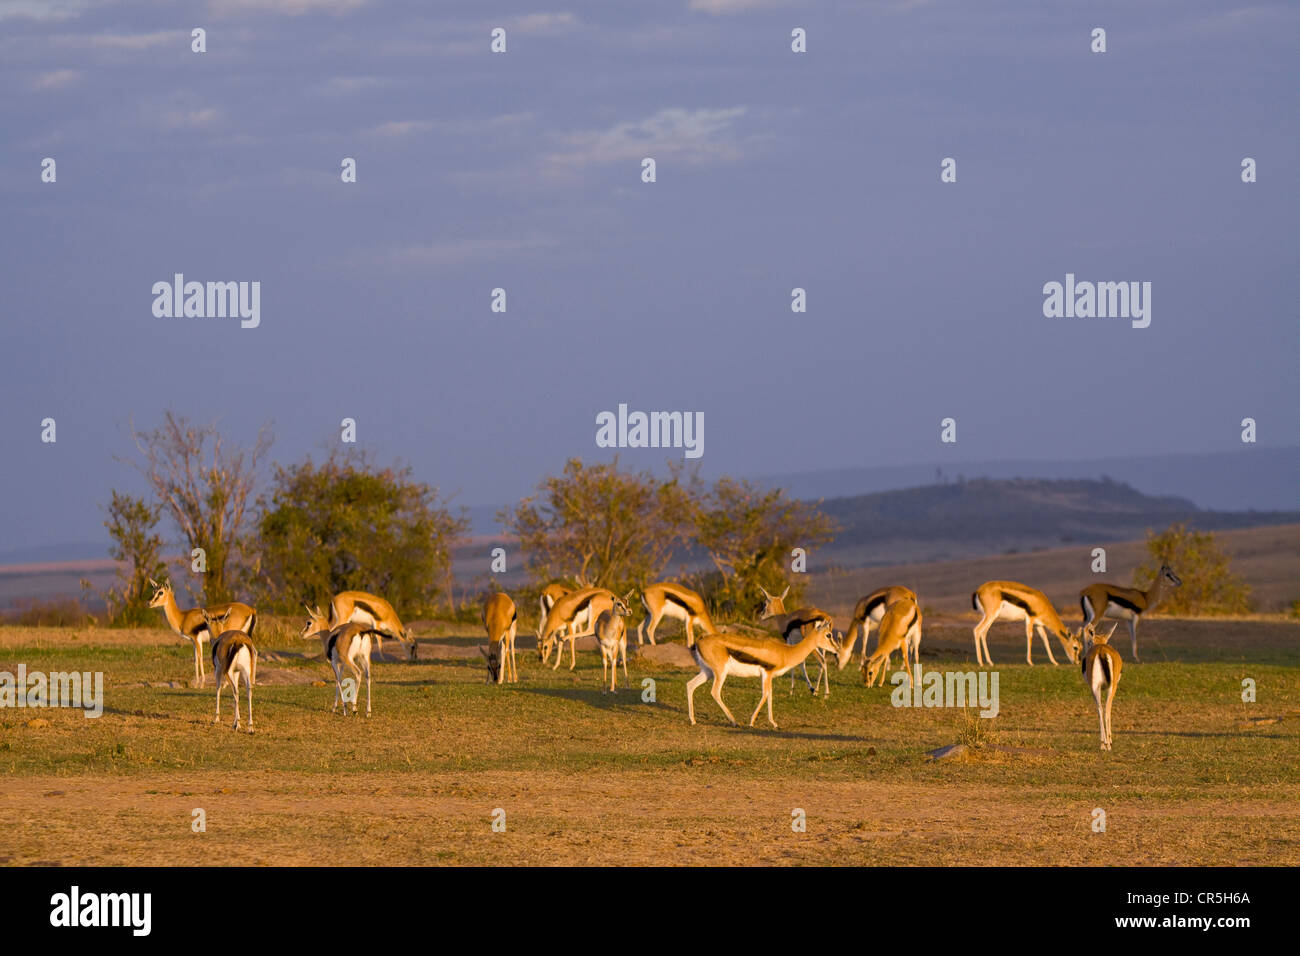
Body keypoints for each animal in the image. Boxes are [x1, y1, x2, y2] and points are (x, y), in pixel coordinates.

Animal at [686, 618, 840, 729]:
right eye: (828, 635)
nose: (837, 650)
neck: (785, 652)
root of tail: (699, 642)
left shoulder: (769, 676)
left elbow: (770, 695)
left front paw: (774, 723)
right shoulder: (766, 673)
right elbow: (765, 694)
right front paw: (751, 722)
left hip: (707, 672)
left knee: (690, 685)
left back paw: (693, 720)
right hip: (720, 673)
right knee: (715, 692)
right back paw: (734, 721)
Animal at [1080, 622, 1122, 750]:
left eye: (1089, 642)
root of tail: (1102, 651)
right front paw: (1109, 741)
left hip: (1097, 688)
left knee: (1101, 709)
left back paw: (1104, 743)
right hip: (1108, 688)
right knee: (1104, 710)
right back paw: (1106, 743)